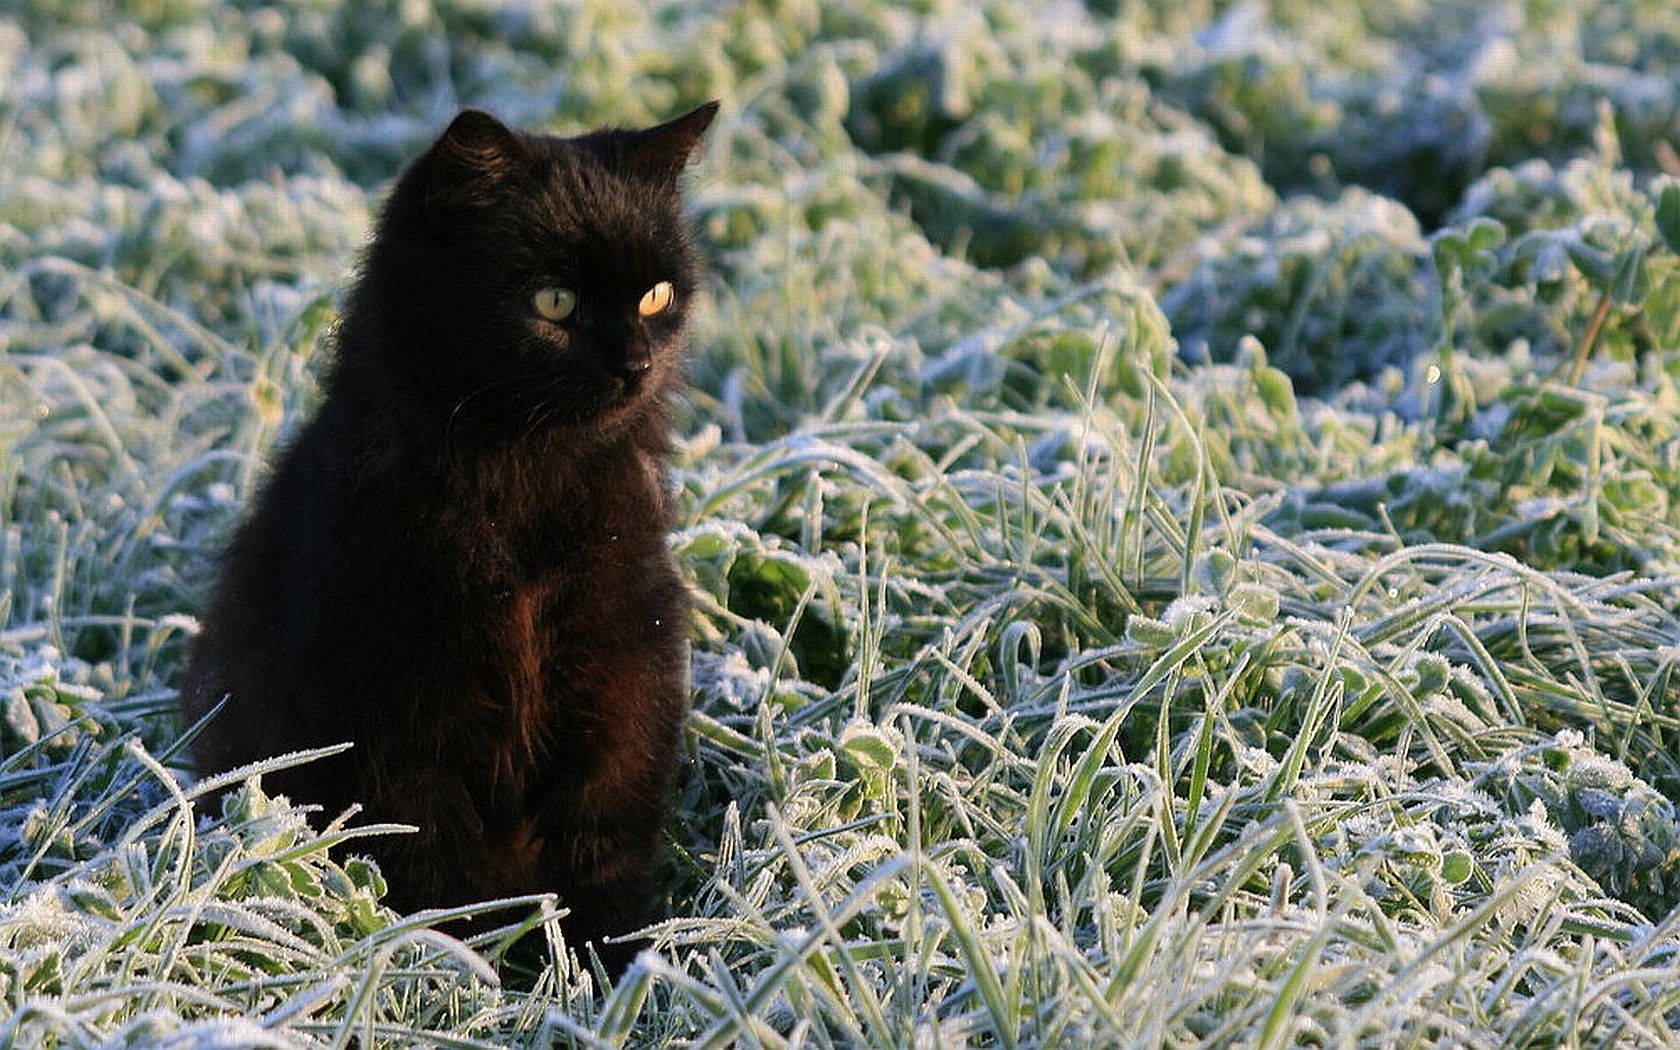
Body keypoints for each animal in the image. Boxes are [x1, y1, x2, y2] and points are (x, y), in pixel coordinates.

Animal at [182, 102, 715, 967]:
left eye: (656, 295)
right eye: (554, 302)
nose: (636, 365)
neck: (523, 484)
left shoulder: (622, 674)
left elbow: (602, 840)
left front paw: (609, 965)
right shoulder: (402, 710)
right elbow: (431, 859)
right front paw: (461, 967)